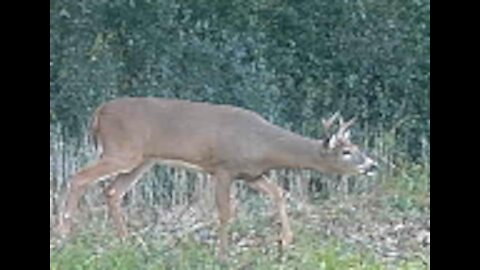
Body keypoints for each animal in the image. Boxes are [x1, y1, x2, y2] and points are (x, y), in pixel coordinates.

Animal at [57, 96, 378, 260]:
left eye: (358, 147)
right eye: (347, 151)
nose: (373, 165)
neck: (262, 144)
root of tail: (98, 112)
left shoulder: (251, 174)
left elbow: (278, 193)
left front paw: (286, 241)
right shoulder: (223, 168)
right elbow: (225, 212)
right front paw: (222, 254)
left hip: (141, 159)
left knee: (112, 191)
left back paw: (130, 243)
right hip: (121, 150)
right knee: (78, 178)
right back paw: (64, 236)